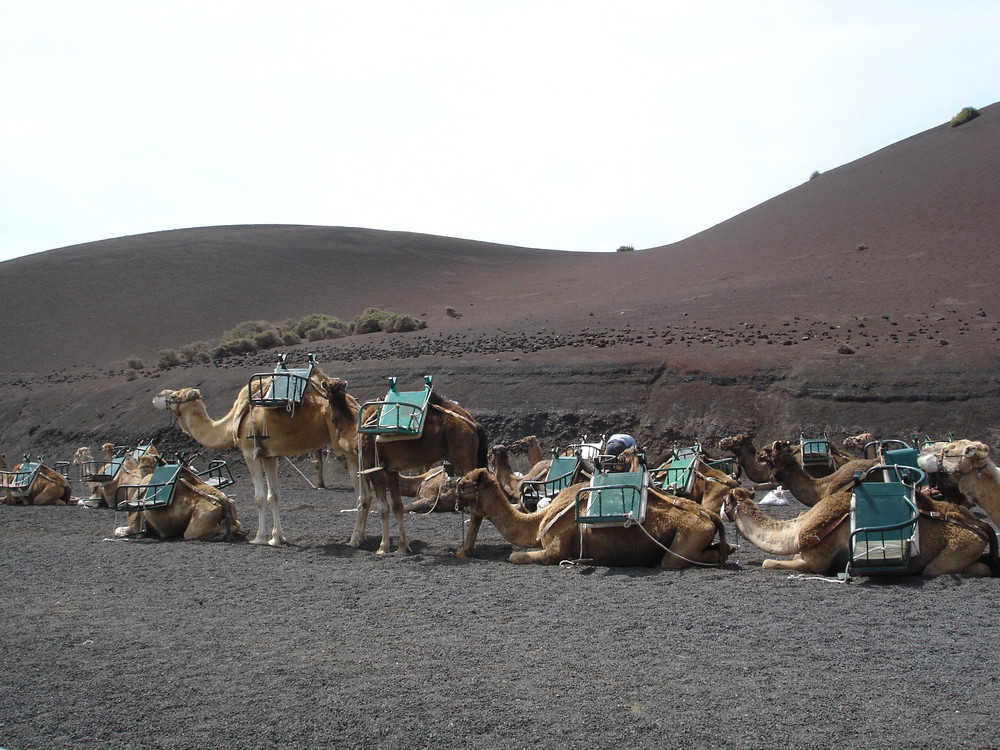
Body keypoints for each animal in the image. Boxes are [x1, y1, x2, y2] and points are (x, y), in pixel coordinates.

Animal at [320, 378, 488, 556]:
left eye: (325, 390)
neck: (354, 429)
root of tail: (475, 425)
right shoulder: (391, 470)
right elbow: (397, 506)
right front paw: (402, 547)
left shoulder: (373, 466)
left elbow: (382, 507)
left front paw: (383, 547)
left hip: (465, 460)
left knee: (476, 508)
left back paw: (465, 549)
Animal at [456, 470, 736, 568]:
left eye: (465, 483)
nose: (453, 488)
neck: (539, 520)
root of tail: (707, 514)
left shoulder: (556, 550)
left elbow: (514, 556)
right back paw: (731, 547)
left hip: (689, 534)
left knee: (675, 560)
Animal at [724, 484, 996, 580]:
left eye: (726, 501)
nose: (722, 513)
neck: (797, 530)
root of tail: (980, 527)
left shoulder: (816, 559)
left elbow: (768, 563)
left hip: (961, 546)